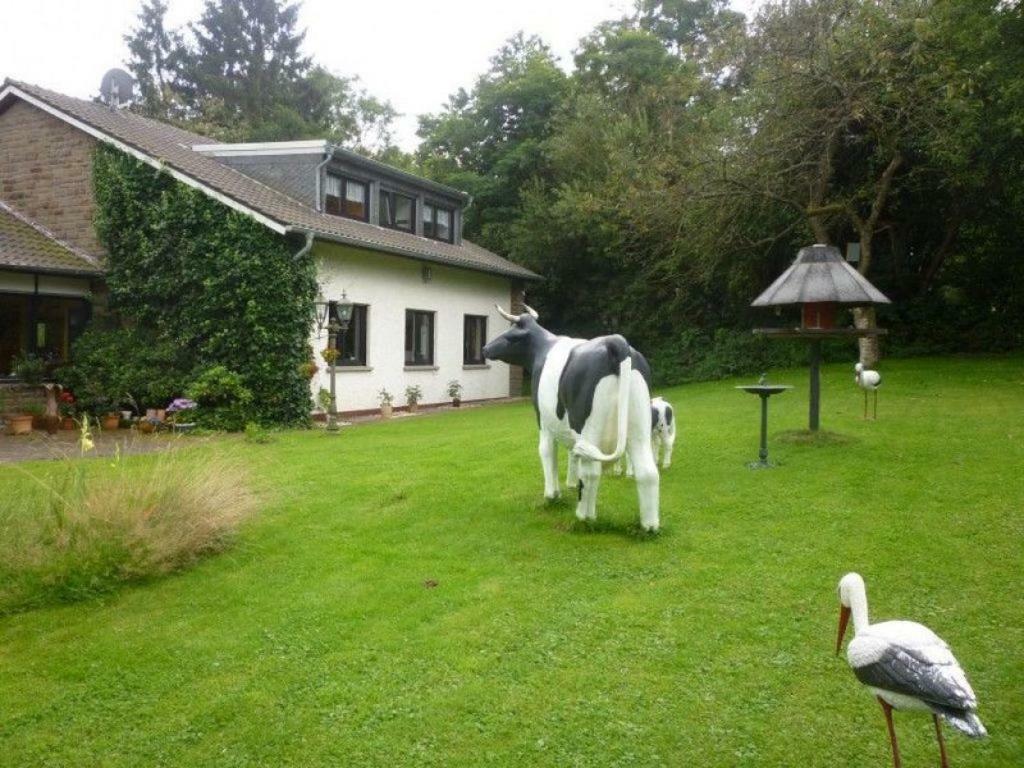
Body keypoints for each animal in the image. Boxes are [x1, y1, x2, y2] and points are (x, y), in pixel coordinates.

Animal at [481, 303, 659, 532]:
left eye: (510, 334)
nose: (485, 348)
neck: (543, 348)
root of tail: (616, 342)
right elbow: (573, 454)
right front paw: (571, 485)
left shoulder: (544, 422)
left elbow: (547, 452)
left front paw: (552, 495)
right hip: (639, 427)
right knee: (647, 470)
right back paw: (649, 526)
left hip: (590, 429)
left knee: (591, 472)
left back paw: (584, 516)